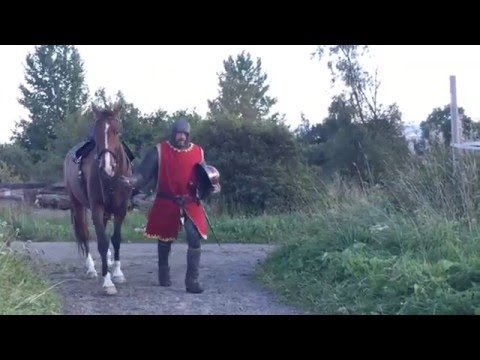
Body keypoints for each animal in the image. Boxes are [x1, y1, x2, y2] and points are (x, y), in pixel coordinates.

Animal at [63, 104, 133, 296]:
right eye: (96, 133)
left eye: (117, 131)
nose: (106, 167)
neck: (113, 178)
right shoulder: (96, 207)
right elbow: (101, 241)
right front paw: (107, 282)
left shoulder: (121, 209)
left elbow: (116, 239)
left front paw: (117, 272)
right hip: (78, 206)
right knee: (85, 234)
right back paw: (92, 269)